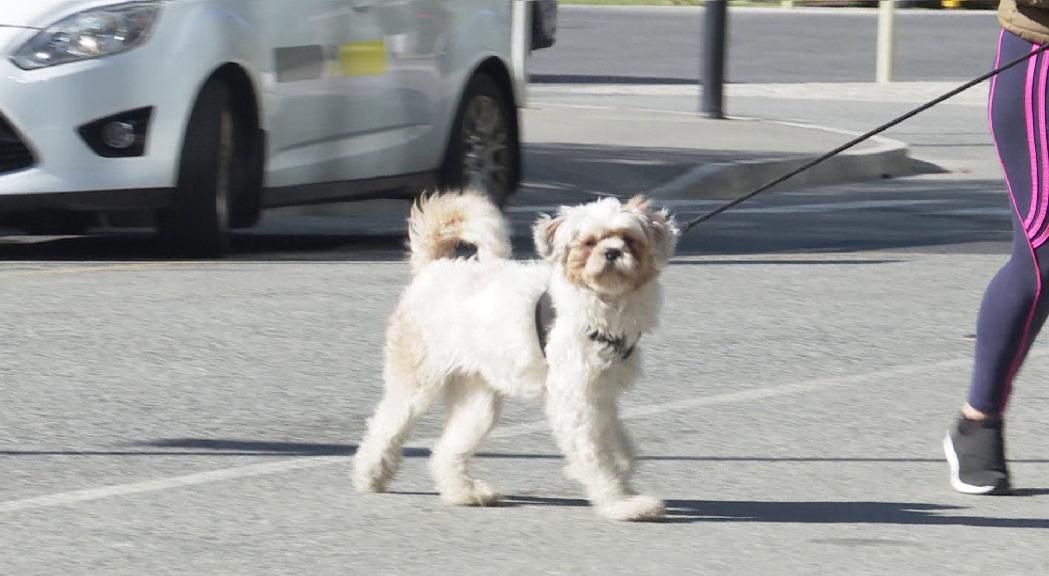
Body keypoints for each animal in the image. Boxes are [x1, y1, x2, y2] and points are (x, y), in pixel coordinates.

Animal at [352, 189, 679, 520]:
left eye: (628, 238)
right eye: (589, 242)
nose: (612, 252)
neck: (604, 304)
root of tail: (436, 267)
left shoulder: (601, 395)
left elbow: (616, 443)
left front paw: (624, 476)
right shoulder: (575, 400)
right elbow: (596, 456)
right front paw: (620, 503)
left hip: (478, 402)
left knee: (446, 449)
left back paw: (464, 492)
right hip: (418, 383)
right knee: (384, 426)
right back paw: (370, 475)